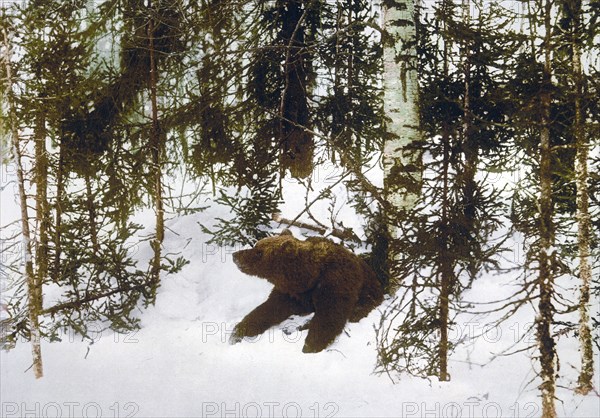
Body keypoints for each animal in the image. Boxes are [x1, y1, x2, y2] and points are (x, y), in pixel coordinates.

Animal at [230, 229, 384, 352]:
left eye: (259, 251)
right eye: (257, 245)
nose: (235, 255)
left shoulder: (335, 281)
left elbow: (330, 314)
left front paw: (310, 346)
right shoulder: (291, 293)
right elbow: (268, 309)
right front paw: (237, 332)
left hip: (368, 294)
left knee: (357, 311)